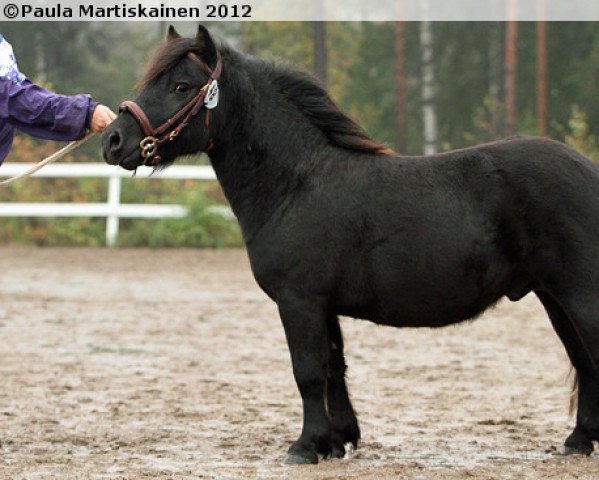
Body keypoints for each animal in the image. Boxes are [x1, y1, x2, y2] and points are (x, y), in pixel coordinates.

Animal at [103, 24, 599, 464]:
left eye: (181, 85)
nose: (112, 139)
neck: (296, 183)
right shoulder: (324, 305)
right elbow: (333, 368)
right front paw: (338, 440)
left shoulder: (299, 301)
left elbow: (307, 372)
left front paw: (305, 447)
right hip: (553, 297)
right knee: (583, 359)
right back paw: (579, 441)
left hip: (578, 295)